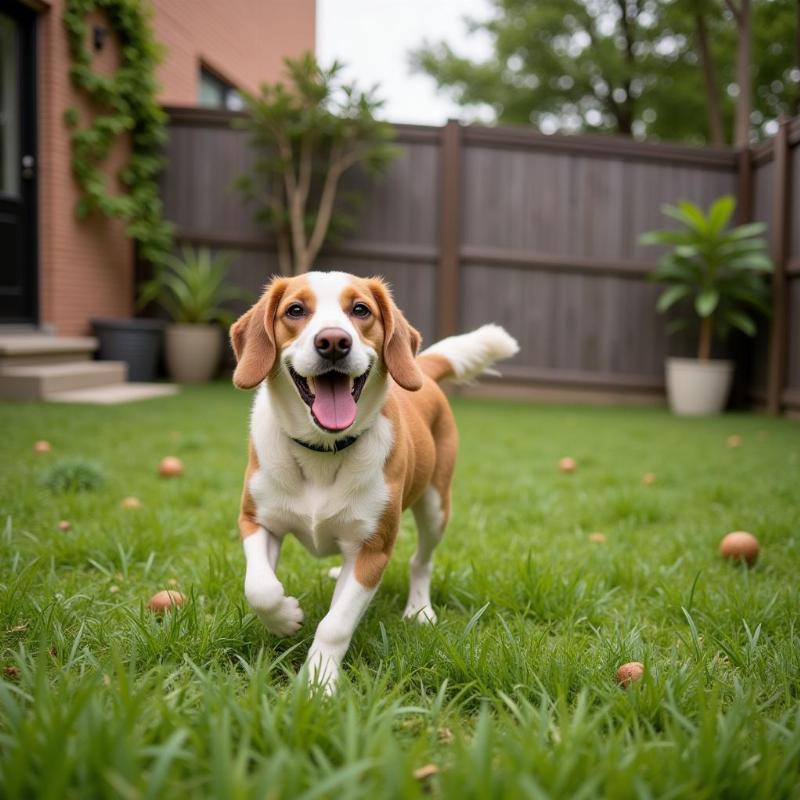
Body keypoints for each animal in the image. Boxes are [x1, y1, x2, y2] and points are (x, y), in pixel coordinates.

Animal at [231, 272, 520, 692]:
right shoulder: (255, 521)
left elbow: (335, 624)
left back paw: (419, 608)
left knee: (421, 561)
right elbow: (260, 588)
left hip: (436, 508)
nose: (334, 341)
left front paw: (318, 682)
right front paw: (285, 618)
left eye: (361, 310)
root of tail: (421, 368)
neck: (324, 450)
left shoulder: (373, 550)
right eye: (295, 310)